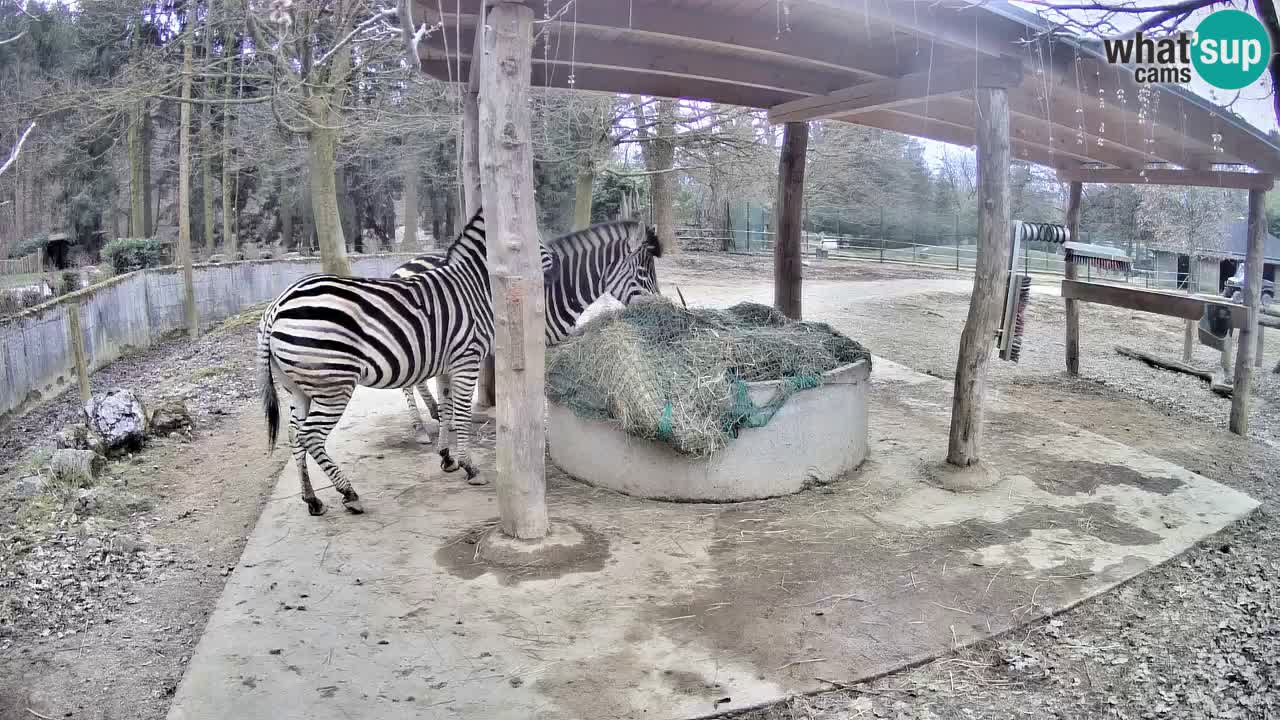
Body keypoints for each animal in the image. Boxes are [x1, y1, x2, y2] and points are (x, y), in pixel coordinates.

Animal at [257, 207, 558, 515]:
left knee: (294, 435)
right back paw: (349, 493)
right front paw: (470, 467)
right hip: (333, 385)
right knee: (311, 436)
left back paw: (312, 499)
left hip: (298, 386)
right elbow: (461, 414)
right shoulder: (467, 359)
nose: (554, 263)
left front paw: (447, 457)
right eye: (529, 240)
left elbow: (447, 409)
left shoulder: (448, 364)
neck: (472, 286)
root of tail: (277, 306)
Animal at [391, 220, 665, 438]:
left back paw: (436, 415)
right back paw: (420, 429)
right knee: (408, 382)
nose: (659, 305)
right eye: (643, 272)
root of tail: (404, 265)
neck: (556, 289)